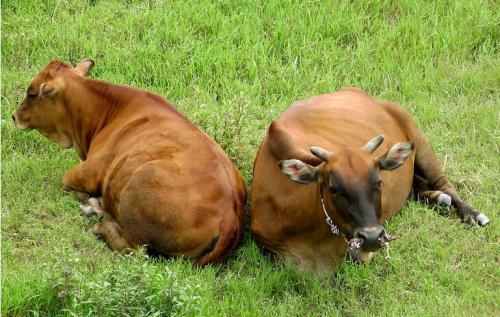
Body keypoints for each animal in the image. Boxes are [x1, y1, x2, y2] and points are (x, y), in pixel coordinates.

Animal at [14, 58, 249, 264]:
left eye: (31, 93)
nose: (14, 116)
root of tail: (230, 216)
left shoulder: (88, 172)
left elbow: (66, 182)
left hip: (142, 182)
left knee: (132, 250)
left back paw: (101, 224)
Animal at [250, 87, 488, 272]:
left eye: (378, 182)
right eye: (333, 188)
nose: (372, 237)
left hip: (419, 138)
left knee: (443, 182)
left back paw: (471, 213)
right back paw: (438, 198)